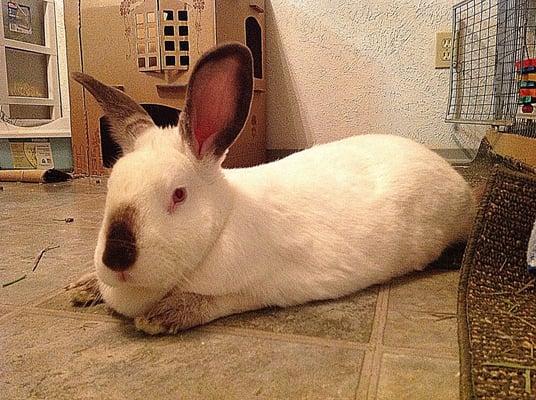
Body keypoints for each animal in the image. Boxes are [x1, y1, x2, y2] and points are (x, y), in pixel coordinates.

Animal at [69, 43, 476, 334]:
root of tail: (455, 177)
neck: (221, 225)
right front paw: (82, 288)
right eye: (110, 188)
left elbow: (210, 301)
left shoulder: (255, 289)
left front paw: (162, 315)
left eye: (178, 194)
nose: (116, 258)